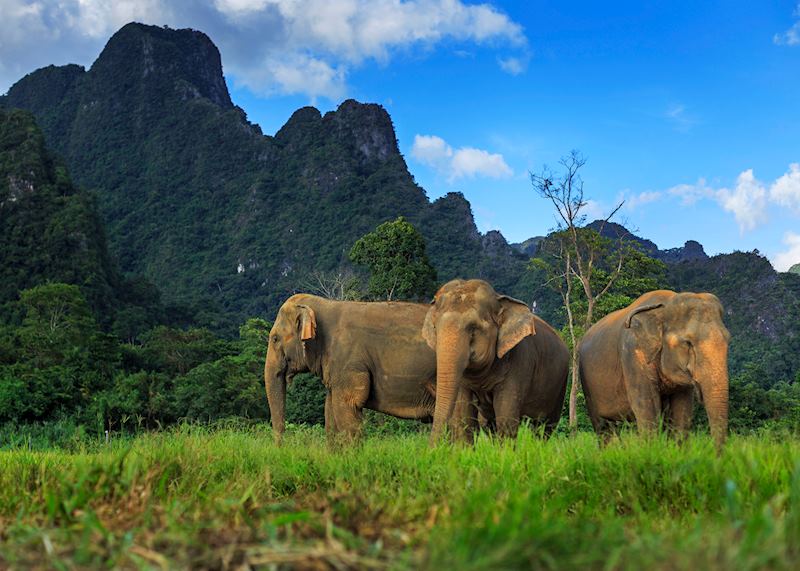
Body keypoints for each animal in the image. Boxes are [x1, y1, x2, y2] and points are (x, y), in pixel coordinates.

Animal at [264, 293, 437, 443]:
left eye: (275, 339)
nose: (282, 446)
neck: (325, 304)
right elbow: (330, 411)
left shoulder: (347, 362)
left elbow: (348, 406)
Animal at [423, 279, 570, 443]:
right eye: (435, 328)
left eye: (473, 329)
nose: (431, 448)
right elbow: (464, 418)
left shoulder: (519, 362)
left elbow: (506, 419)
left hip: (560, 386)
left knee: (544, 427)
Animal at [578, 290, 730, 447]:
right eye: (688, 343)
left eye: (728, 340)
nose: (716, 452)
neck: (666, 304)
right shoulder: (633, 353)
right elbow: (647, 406)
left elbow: (682, 409)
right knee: (603, 426)